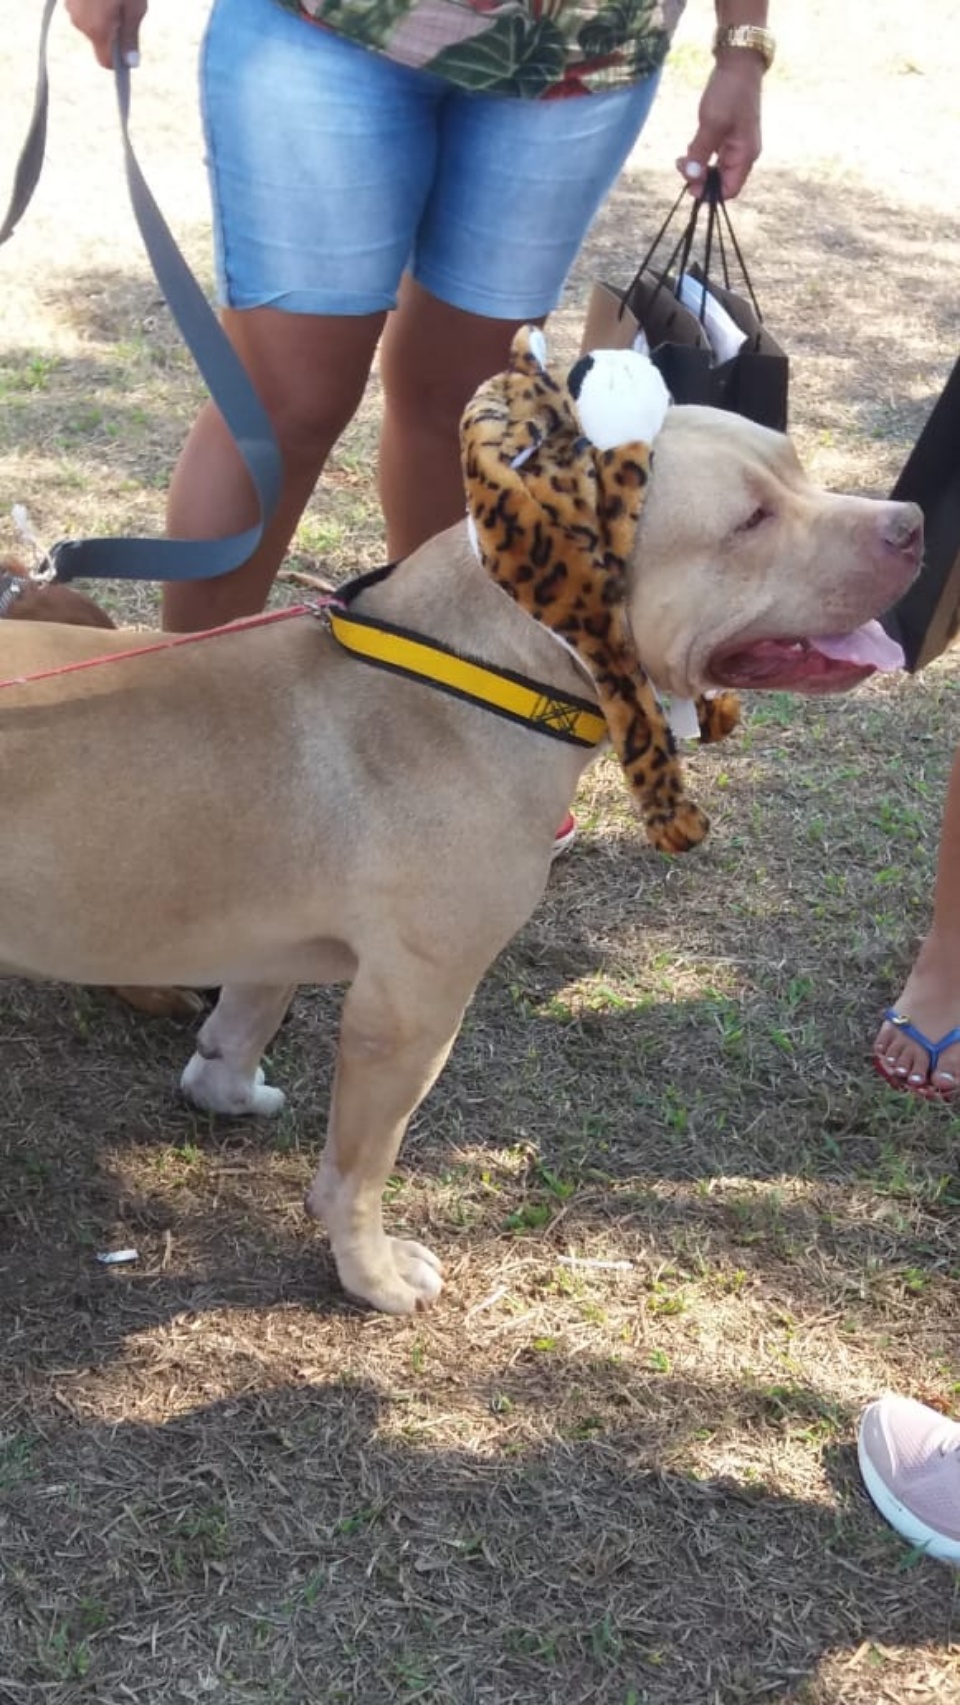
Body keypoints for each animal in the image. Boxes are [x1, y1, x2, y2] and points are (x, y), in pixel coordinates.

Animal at [0, 405, 920, 1309]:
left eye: (797, 466)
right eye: (750, 520)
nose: (911, 524)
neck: (492, 664)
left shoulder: (272, 943)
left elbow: (241, 1025)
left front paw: (228, 1090)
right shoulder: (409, 1012)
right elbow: (358, 1173)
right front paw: (370, 1273)